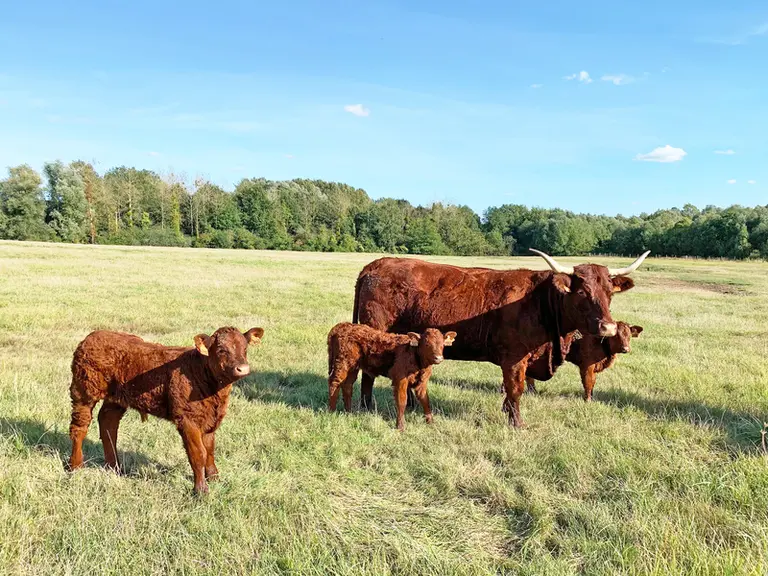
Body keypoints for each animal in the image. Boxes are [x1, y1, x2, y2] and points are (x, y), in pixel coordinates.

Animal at [68, 326, 264, 494]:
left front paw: (215, 479)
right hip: (83, 392)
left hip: (115, 398)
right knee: (79, 428)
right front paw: (201, 491)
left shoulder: (210, 420)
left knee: (108, 424)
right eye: (221, 350)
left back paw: (114, 467)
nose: (243, 368)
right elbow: (198, 454)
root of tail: (93, 335)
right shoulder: (187, 419)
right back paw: (75, 467)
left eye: (245, 348)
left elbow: (210, 450)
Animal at [327, 322, 456, 430]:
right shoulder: (400, 379)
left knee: (347, 386)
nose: (438, 358)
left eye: (442, 344)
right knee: (334, 383)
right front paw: (400, 426)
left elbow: (425, 400)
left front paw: (431, 422)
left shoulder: (422, 382)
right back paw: (331, 412)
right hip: (342, 363)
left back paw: (348, 412)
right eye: (427, 344)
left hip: (353, 366)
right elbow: (402, 401)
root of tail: (342, 326)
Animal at [351, 248, 650, 427]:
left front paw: (507, 413)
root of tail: (376, 264)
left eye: (609, 292)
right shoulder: (514, 357)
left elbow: (509, 390)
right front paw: (517, 423)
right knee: (368, 373)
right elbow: (516, 389)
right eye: (581, 292)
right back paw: (366, 406)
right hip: (375, 332)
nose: (608, 327)